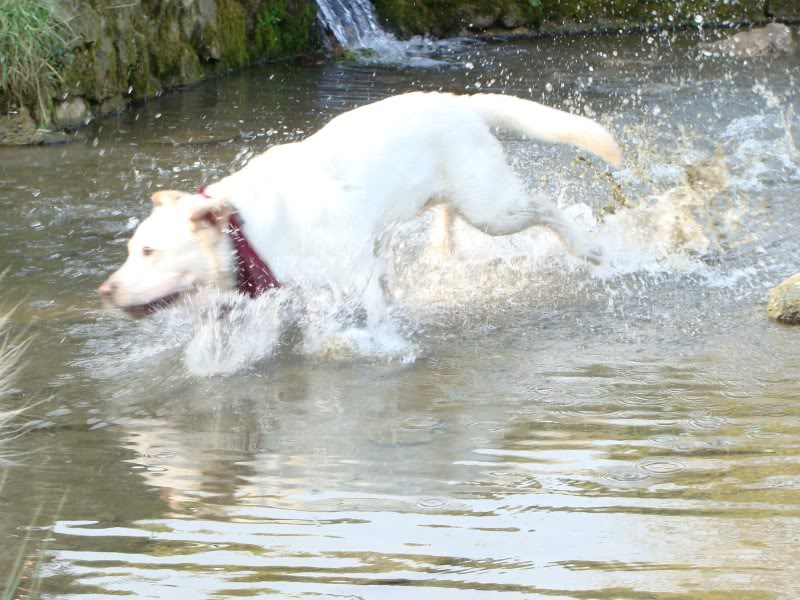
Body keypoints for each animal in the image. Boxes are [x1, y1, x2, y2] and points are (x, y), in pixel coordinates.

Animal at [100, 91, 620, 322]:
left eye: (149, 252)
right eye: (130, 250)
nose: (104, 291)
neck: (245, 231)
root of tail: (461, 102)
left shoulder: (355, 275)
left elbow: (372, 310)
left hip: (494, 209)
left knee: (545, 206)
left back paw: (589, 247)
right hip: (451, 195)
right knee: (447, 215)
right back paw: (443, 249)